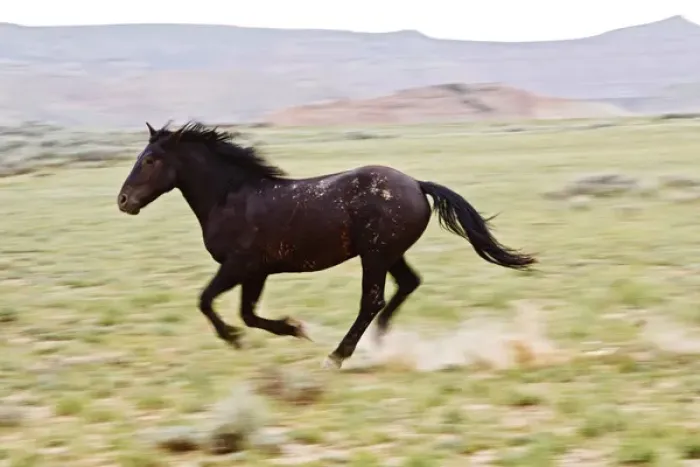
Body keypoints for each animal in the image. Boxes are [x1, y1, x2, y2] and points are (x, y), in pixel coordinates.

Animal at [116, 121, 536, 369]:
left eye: (150, 160)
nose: (123, 201)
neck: (231, 196)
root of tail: (417, 185)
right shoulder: (257, 272)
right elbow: (248, 313)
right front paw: (293, 328)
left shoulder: (238, 266)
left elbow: (207, 301)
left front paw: (240, 339)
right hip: (389, 253)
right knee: (407, 285)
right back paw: (379, 342)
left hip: (375, 254)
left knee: (372, 300)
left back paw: (338, 356)